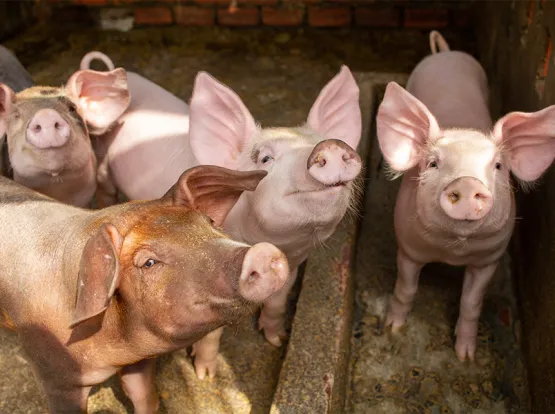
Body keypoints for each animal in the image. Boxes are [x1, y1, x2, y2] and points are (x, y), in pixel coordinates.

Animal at [0, 163, 286, 412]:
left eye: (210, 222)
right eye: (148, 263)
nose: (262, 252)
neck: (115, 350)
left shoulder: (139, 359)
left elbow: (144, 396)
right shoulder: (55, 374)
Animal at [79, 53, 364, 380]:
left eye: (324, 140)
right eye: (265, 158)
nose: (330, 146)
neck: (277, 243)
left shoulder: (292, 266)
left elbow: (277, 303)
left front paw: (276, 340)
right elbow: (212, 333)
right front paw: (205, 375)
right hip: (101, 158)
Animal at [376, 30, 555, 360]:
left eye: (497, 166)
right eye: (433, 163)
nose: (469, 183)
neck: (454, 251)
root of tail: (445, 53)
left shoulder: (489, 258)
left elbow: (472, 303)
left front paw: (466, 356)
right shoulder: (408, 248)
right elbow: (405, 288)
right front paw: (393, 329)